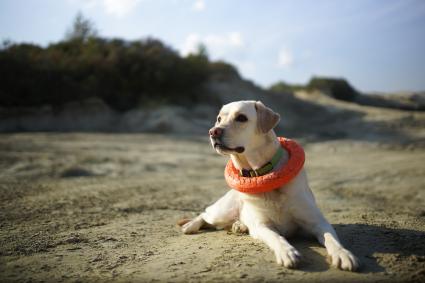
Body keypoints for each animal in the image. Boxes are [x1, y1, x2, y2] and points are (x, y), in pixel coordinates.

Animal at [179, 101, 358, 272]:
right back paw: (190, 226)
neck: (261, 171)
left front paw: (343, 254)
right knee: (205, 214)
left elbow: (331, 238)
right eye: (219, 119)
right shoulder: (262, 225)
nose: (213, 132)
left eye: (241, 118)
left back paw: (239, 226)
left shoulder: (318, 222)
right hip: (223, 211)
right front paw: (287, 252)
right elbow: (277, 237)